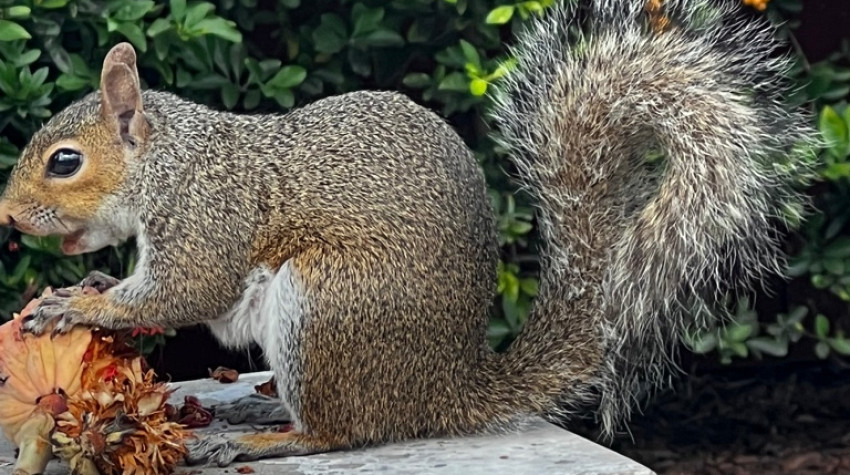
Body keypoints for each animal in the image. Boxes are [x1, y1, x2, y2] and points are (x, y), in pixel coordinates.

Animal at [0, 0, 816, 467]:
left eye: (65, 161)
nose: (6, 217)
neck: (168, 161)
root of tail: (447, 390)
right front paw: (95, 285)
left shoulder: (208, 213)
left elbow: (183, 290)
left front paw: (76, 304)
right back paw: (265, 406)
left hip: (325, 306)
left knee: (343, 432)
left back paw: (263, 437)